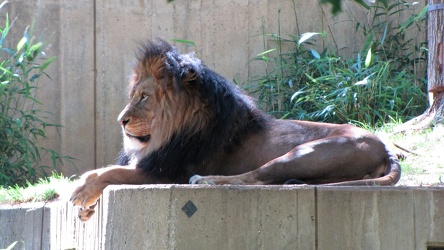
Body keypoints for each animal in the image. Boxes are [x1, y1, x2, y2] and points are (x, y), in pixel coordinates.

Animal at [71, 37, 400, 221]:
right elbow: (112, 169)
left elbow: (111, 171)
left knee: (256, 177)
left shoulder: (165, 172)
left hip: (304, 152)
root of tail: (386, 148)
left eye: (143, 97)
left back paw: (205, 181)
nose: (121, 120)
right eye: (133, 95)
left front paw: (82, 190)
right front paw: (86, 207)